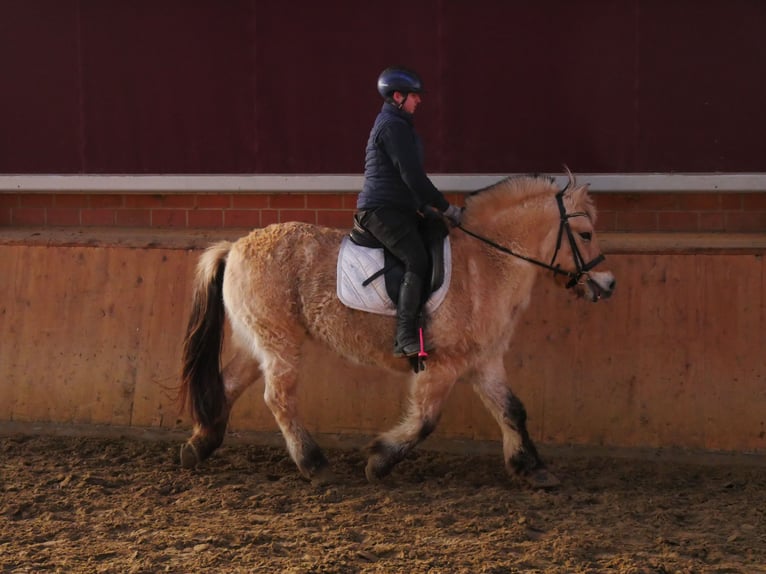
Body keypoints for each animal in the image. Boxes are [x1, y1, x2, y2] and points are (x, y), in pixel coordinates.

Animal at [177, 172, 616, 490]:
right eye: (586, 234)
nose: (608, 284)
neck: (487, 263)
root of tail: (234, 246)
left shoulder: (484, 360)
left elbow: (512, 410)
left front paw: (533, 470)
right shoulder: (442, 365)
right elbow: (425, 419)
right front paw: (380, 460)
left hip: (260, 341)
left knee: (227, 383)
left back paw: (199, 446)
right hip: (280, 342)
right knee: (279, 398)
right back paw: (314, 465)